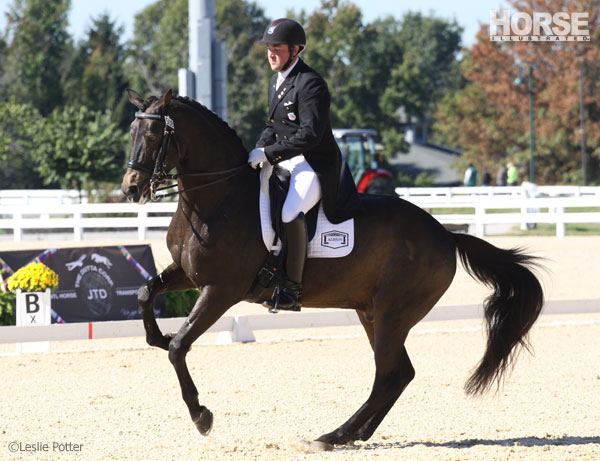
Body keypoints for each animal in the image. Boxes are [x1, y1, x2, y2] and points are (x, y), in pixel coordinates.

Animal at [120, 88, 544, 448]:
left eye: (155, 135)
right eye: (132, 131)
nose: (129, 189)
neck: (218, 199)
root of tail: (446, 234)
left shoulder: (222, 290)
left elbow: (180, 347)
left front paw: (201, 416)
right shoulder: (189, 275)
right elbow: (144, 293)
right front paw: (156, 337)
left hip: (392, 315)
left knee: (388, 376)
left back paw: (334, 435)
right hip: (372, 313)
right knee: (399, 374)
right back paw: (352, 434)